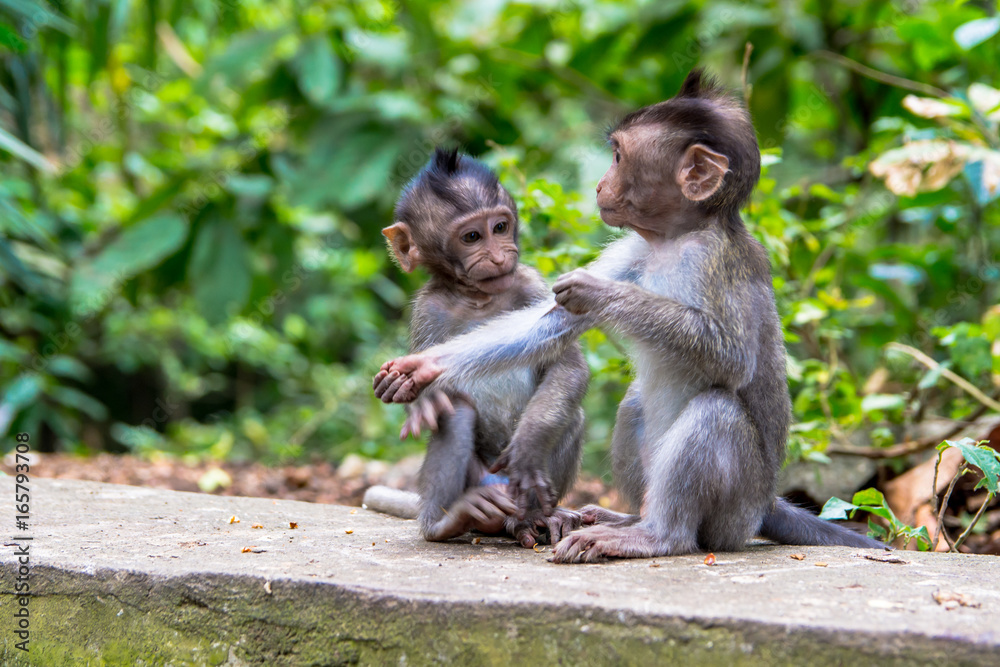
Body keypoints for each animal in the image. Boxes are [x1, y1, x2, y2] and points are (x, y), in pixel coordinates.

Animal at [364, 147, 589, 548]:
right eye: (471, 236)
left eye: (500, 228)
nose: (499, 257)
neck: (479, 298)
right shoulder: (429, 308)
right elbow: (436, 388)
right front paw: (416, 396)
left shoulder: (531, 284)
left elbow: (567, 367)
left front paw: (529, 443)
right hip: (478, 481)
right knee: (456, 414)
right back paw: (448, 521)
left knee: (570, 413)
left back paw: (538, 517)